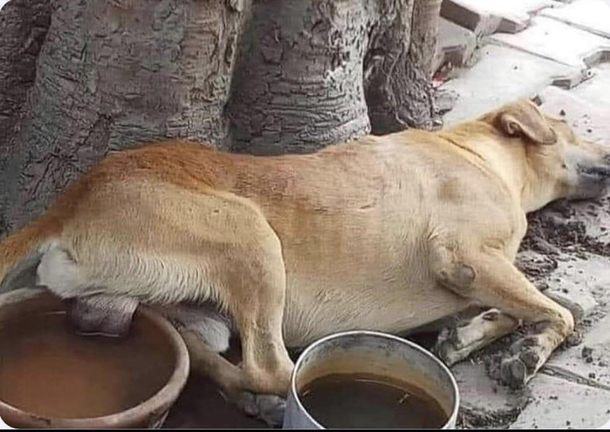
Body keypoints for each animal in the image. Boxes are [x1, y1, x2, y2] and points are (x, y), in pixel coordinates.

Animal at [1, 98, 608, 426]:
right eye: (574, 129)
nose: (608, 153)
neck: (475, 151)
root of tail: (70, 202)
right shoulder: (465, 257)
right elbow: (559, 310)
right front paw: (526, 349)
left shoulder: (475, 278)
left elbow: (556, 303)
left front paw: (473, 336)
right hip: (253, 237)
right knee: (273, 366)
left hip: (172, 310)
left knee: (210, 358)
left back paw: (251, 400)